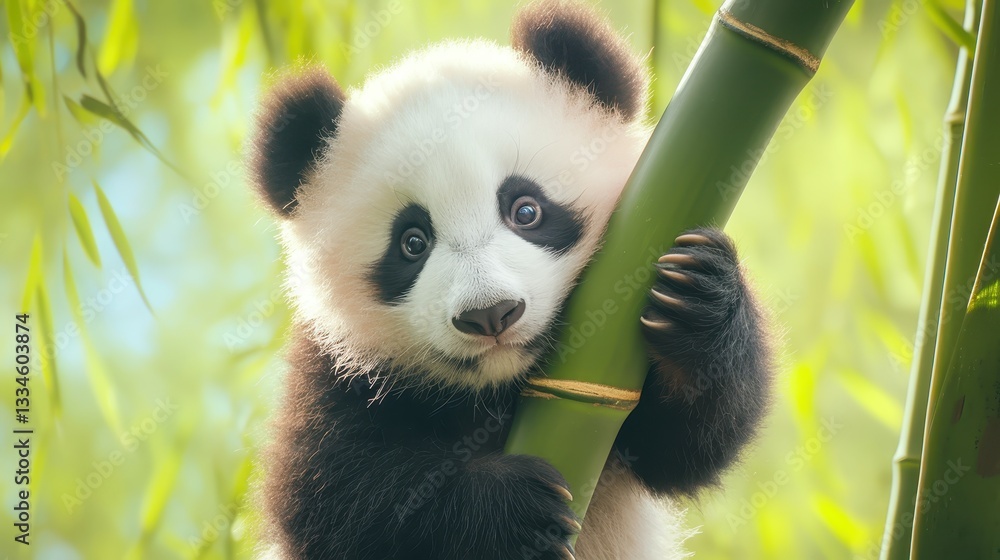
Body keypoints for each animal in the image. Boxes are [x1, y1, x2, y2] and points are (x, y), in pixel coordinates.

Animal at [248, 1, 772, 559]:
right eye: (412, 243)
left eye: (526, 210)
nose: (490, 314)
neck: (497, 391)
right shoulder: (336, 376)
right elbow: (336, 503)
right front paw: (510, 509)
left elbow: (683, 446)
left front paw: (701, 301)